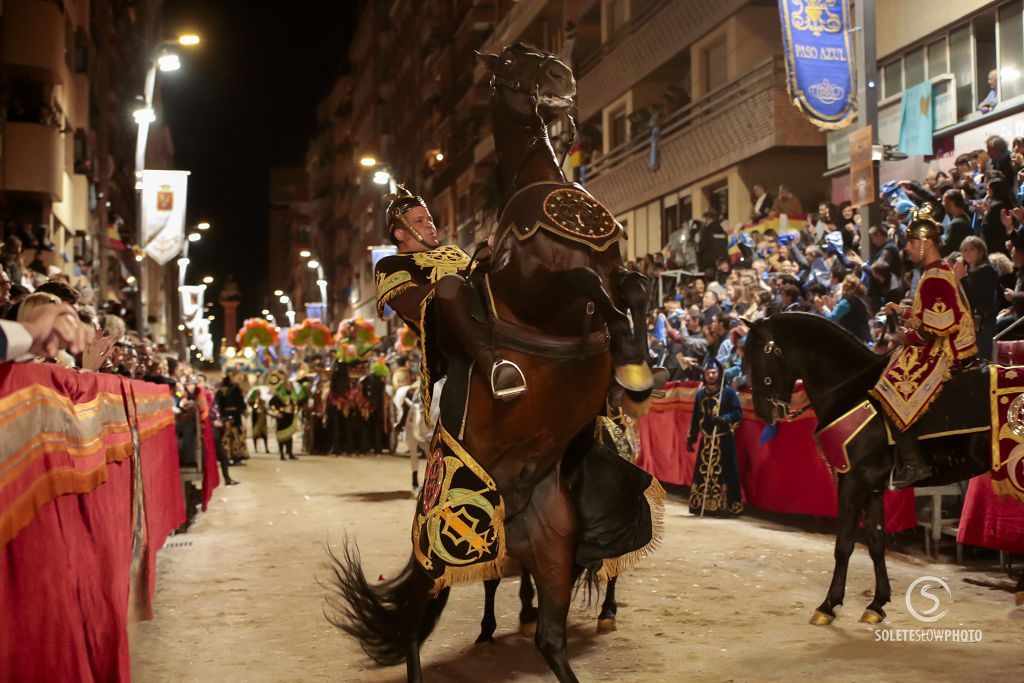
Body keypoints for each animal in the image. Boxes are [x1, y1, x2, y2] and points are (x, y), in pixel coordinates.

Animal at [323, 44, 651, 683]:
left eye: (544, 55)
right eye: (514, 62)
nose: (562, 77)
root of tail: (513, 521)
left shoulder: (614, 265)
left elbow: (633, 286)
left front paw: (635, 365)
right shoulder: (539, 286)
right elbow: (582, 284)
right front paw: (622, 359)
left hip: (554, 552)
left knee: (549, 638)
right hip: (443, 557)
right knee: (412, 630)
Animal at [745, 313, 1024, 622]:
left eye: (758, 356)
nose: (762, 411)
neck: (851, 389)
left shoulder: (853, 482)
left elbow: (844, 543)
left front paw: (828, 605)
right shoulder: (873, 487)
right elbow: (876, 543)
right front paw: (877, 604)